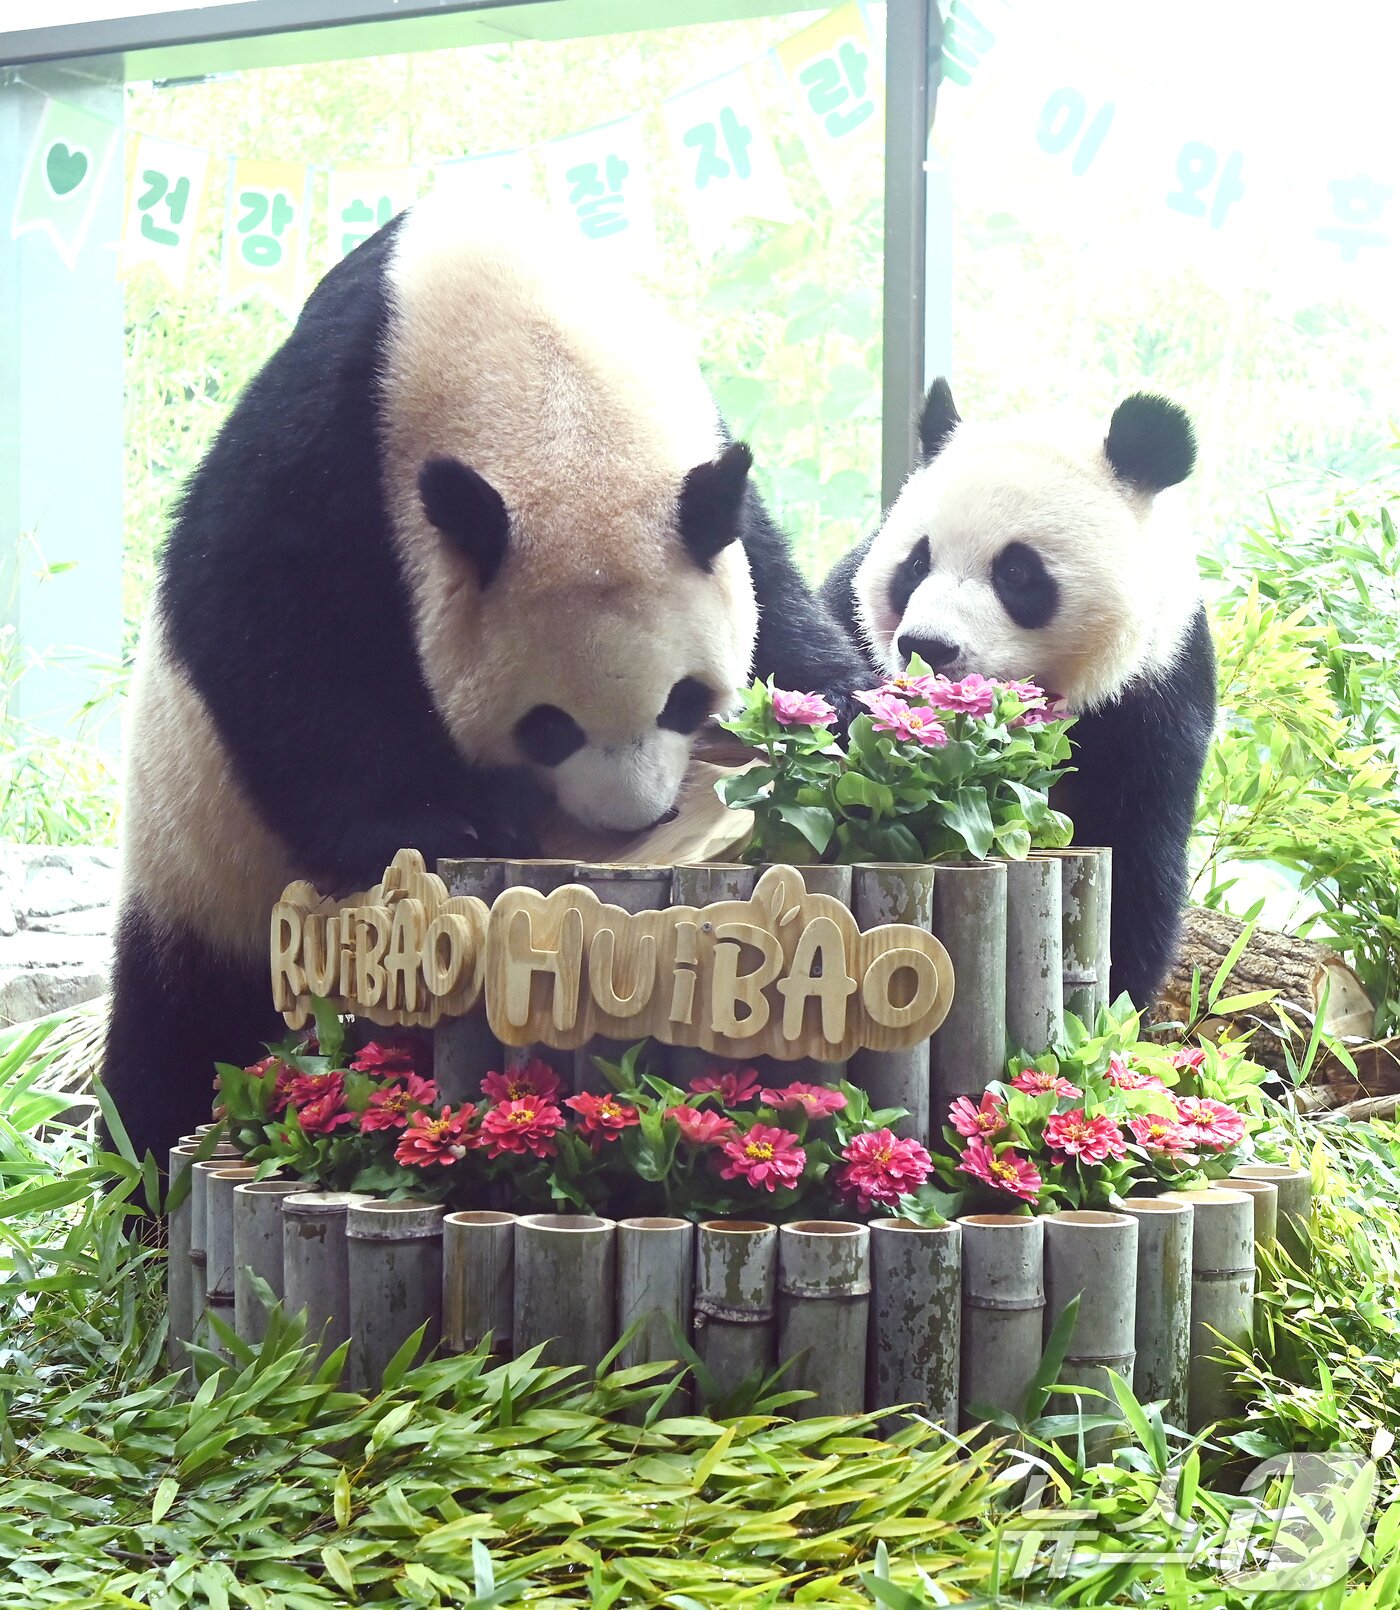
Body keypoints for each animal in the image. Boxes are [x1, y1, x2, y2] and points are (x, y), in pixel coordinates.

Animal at [106, 193, 866, 1167]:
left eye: (686, 698)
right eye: (548, 726)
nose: (632, 818)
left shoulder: (701, 471)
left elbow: (773, 587)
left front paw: (836, 716)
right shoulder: (334, 440)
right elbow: (272, 632)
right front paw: (436, 823)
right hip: (203, 863)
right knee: (178, 1036)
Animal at [821, 377, 1217, 1011]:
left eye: (1016, 572)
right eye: (916, 564)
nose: (927, 646)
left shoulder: (1154, 698)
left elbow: (1133, 861)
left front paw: (1119, 1006)